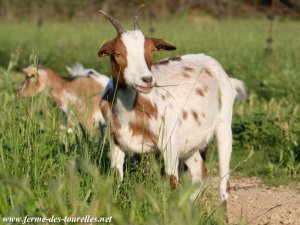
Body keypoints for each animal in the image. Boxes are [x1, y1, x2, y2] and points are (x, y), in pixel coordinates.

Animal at [98, 5, 246, 209]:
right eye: (118, 53)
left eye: (151, 50)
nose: (147, 79)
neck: (130, 113)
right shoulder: (116, 141)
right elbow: (115, 177)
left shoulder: (169, 143)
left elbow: (172, 182)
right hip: (190, 143)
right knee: (199, 172)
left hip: (224, 125)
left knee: (224, 180)